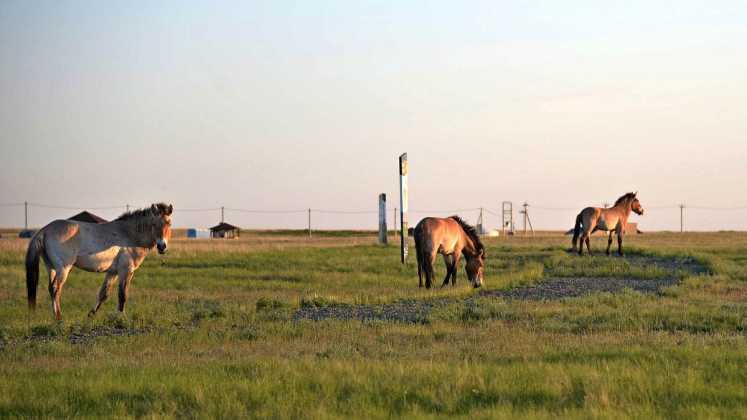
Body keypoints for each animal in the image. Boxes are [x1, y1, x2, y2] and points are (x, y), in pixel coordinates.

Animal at [25, 203, 173, 318]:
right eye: (154, 224)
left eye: (169, 223)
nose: (162, 246)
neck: (129, 234)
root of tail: (45, 230)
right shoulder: (126, 271)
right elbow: (122, 294)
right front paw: (121, 317)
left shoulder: (112, 272)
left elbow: (103, 294)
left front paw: (91, 314)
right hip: (63, 269)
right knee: (56, 289)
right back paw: (58, 318)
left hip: (51, 268)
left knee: (51, 288)